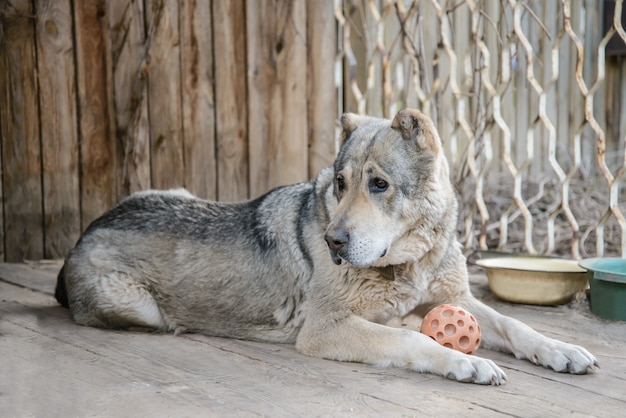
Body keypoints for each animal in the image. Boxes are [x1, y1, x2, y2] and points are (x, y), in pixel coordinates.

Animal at [54, 108, 596, 386]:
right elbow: (414, 341)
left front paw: (562, 350)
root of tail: (84, 234)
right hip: (141, 308)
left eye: (379, 184)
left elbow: (517, 326)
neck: (406, 263)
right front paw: (463, 361)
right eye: (340, 183)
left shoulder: (457, 299)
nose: (334, 240)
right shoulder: (325, 328)